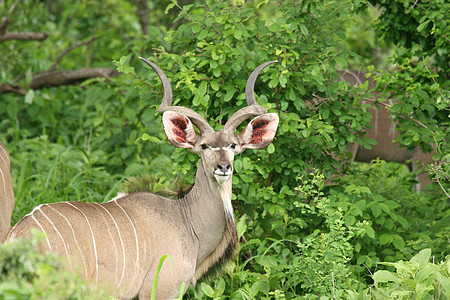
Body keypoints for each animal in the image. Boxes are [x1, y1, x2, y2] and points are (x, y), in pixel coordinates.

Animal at [0, 59, 280, 300]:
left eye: (233, 145)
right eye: (203, 146)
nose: (223, 167)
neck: (185, 219)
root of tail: (17, 237)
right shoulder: (161, 291)